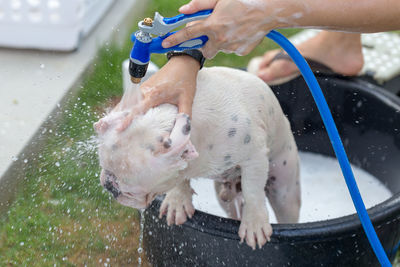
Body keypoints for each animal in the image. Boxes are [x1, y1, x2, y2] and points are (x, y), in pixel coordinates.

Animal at [94, 66, 300, 250]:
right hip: (224, 196)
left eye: (131, 191)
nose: (109, 184)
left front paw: (254, 224)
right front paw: (177, 201)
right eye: (103, 166)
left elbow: (253, 191)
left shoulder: (254, 155)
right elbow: (180, 178)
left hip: (284, 189)